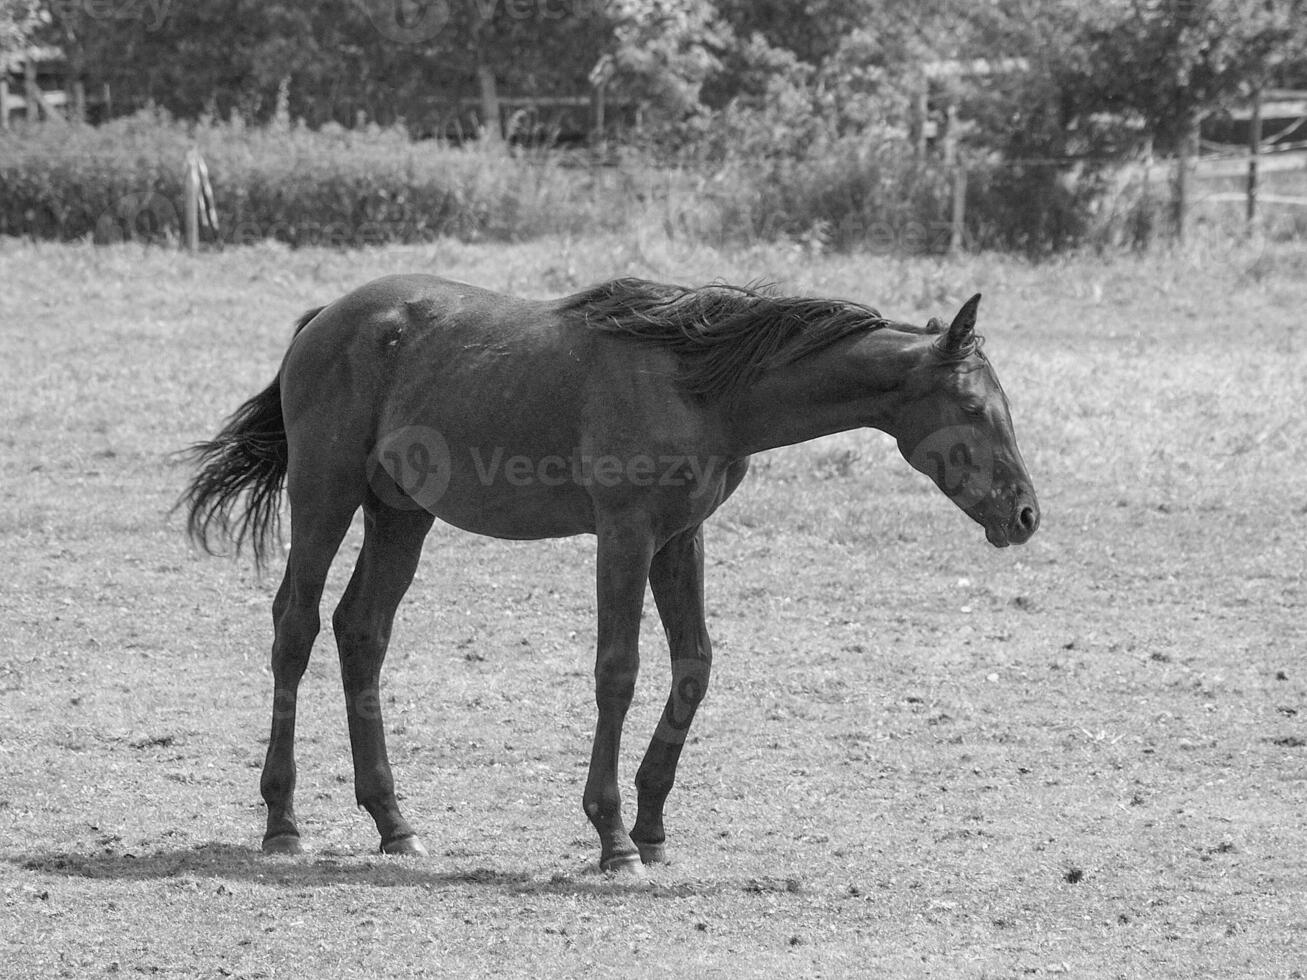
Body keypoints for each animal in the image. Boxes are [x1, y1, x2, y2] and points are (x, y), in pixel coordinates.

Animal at [184, 274, 1040, 872]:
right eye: (972, 406)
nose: (1025, 514)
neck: (701, 388)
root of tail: (327, 317)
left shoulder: (679, 538)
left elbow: (693, 664)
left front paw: (652, 825)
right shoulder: (625, 536)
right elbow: (617, 671)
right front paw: (612, 836)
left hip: (400, 513)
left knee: (361, 631)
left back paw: (395, 824)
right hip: (324, 495)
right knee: (294, 626)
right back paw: (282, 821)